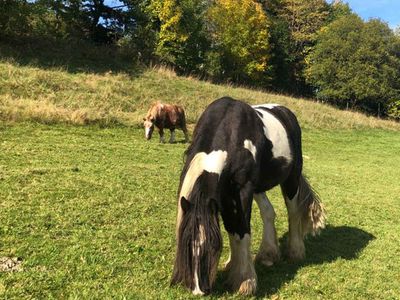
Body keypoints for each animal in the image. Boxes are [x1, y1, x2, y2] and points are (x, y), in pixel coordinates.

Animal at [171, 96, 324, 296]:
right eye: (186, 244)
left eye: (213, 245)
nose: (199, 289)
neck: (230, 132)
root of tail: (286, 112)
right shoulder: (225, 195)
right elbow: (231, 229)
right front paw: (232, 266)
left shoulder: (242, 190)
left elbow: (241, 232)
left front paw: (244, 281)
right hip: (258, 188)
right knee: (268, 212)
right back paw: (268, 254)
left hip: (291, 178)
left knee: (293, 212)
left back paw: (295, 251)